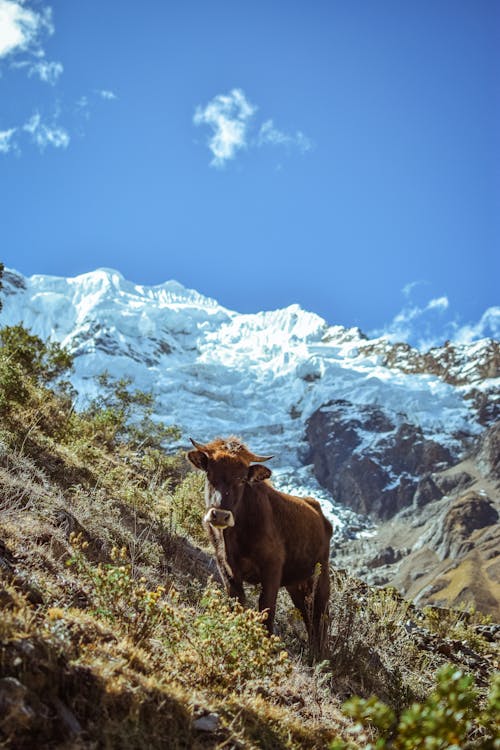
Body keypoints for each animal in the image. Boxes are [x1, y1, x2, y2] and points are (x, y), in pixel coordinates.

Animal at [187, 438, 332, 656]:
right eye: (209, 473)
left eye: (241, 479)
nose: (220, 515)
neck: (232, 539)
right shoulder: (225, 567)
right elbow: (237, 601)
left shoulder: (272, 569)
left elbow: (266, 609)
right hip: (296, 584)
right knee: (307, 615)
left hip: (320, 577)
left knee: (320, 616)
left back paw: (319, 656)